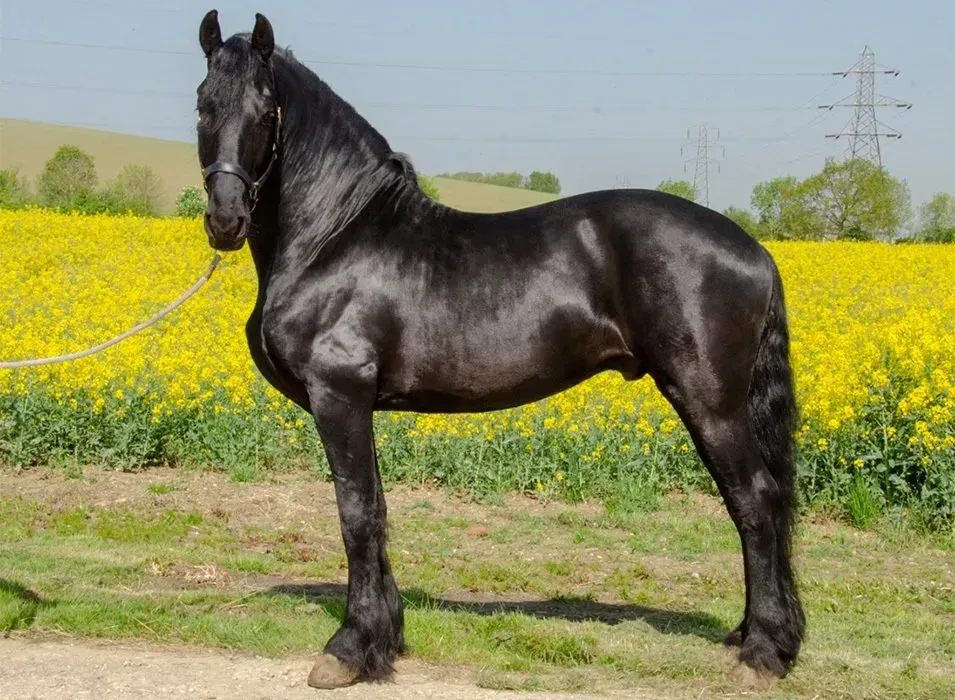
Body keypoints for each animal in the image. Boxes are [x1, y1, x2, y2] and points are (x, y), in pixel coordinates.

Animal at [194, 9, 805, 689]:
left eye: (265, 111)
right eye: (202, 105)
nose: (225, 219)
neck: (337, 236)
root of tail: (755, 250)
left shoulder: (340, 395)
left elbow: (356, 515)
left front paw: (348, 650)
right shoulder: (361, 405)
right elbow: (377, 509)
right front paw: (387, 638)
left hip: (709, 401)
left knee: (756, 501)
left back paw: (764, 653)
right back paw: (755, 636)